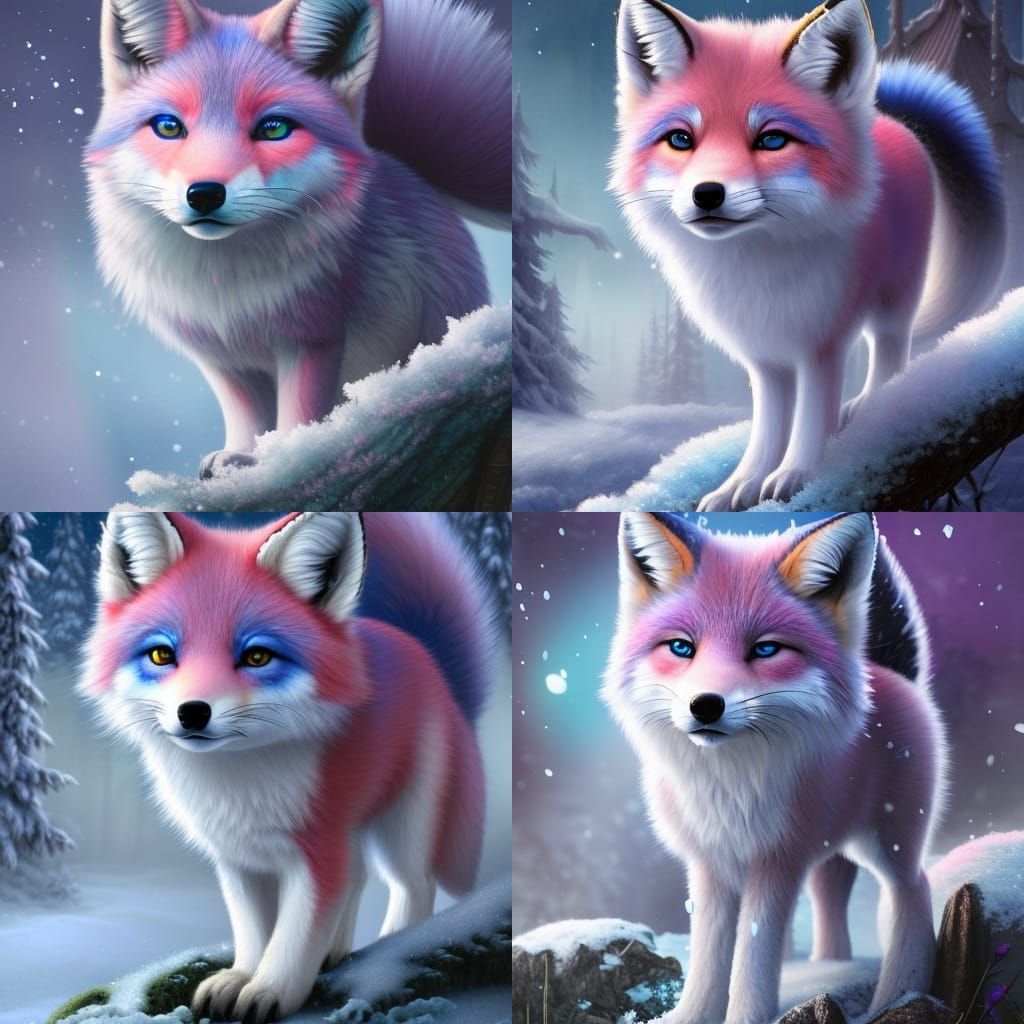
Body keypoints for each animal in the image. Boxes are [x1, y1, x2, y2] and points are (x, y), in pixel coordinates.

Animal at [80, 508, 494, 1024]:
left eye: (256, 656)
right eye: (162, 654)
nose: (192, 712)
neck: (241, 786)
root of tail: (422, 653)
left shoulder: (318, 854)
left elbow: (294, 937)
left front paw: (270, 991)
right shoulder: (238, 859)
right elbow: (255, 931)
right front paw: (241, 977)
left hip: (404, 826)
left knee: (413, 885)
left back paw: (393, 949)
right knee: (361, 876)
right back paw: (336, 952)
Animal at [85, 0, 510, 479]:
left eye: (273, 129)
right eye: (169, 127)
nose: (205, 193)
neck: (225, 289)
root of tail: (413, 175)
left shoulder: (313, 340)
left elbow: (299, 413)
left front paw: (287, 460)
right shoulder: (224, 360)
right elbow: (246, 418)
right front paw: (239, 457)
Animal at [604, 512, 946, 1024]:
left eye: (765, 650)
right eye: (682, 648)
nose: (706, 705)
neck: (728, 786)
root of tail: (893, 677)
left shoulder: (777, 861)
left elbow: (753, 959)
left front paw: (747, 1015)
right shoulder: (711, 863)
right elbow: (709, 957)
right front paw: (691, 1016)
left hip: (887, 844)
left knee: (913, 891)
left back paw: (898, 995)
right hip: (834, 849)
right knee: (832, 892)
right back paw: (831, 964)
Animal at [611, 0, 1006, 511]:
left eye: (771, 140)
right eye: (681, 139)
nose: (707, 194)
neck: (756, 269)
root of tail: (888, 123)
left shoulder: (823, 342)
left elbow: (813, 415)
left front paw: (795, 474)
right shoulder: (764, 356)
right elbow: (769, 425)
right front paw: (742, 484)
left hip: (896, 296)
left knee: (890, 348)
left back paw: (877, 405)